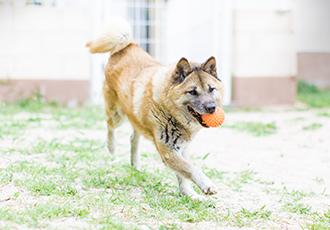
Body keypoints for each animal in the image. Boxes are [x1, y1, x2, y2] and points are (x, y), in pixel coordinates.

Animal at [86, 17, 226, 200]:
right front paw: (206, 185)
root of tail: (128, 46)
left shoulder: (181, 148)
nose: (211, 108)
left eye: (211, 89)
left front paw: (188, 193)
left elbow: (183, 176)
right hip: (117, 115)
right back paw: (111, 147)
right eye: (192, 91)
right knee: (110, 125)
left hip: (135, 116)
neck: (168, 109)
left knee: (133, 138)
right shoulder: (168, 151)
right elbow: (190, 168)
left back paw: (135, 166)